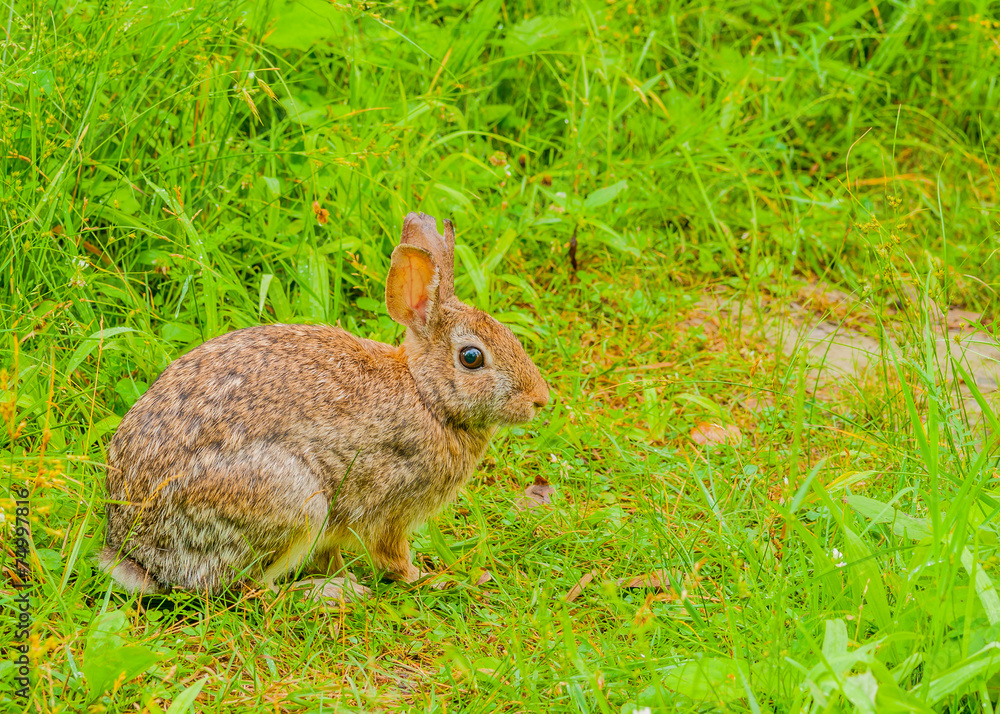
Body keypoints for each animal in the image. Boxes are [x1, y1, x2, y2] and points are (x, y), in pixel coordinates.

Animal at [99, 212, 549, 602]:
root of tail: (137, 553)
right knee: (248, 591)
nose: (539, 400)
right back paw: (330, 594)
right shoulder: (391, 507)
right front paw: (429, 579)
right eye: (472, 358)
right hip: (292, 501)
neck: (426, 394)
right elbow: (392, 556)